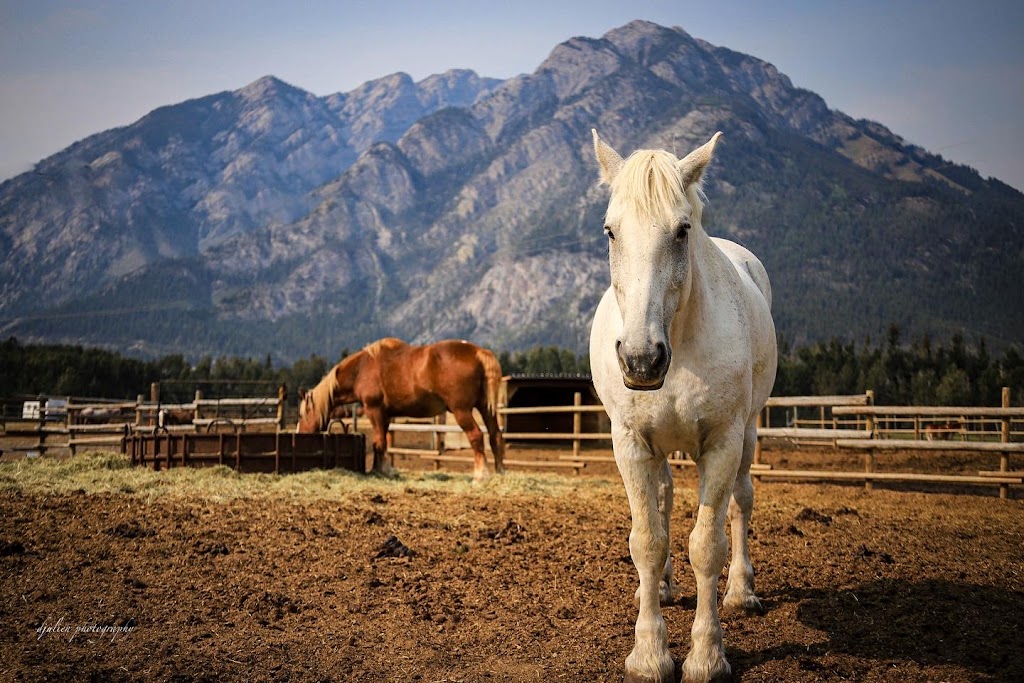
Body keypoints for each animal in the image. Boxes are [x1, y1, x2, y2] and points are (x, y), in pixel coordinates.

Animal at [294, 337, 505, 481]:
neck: (362, 368)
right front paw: (383, 469)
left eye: (303, 414)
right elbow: (382, 443)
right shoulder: (385, 416)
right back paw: (500, 472)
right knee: (495, 435)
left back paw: (480, 476)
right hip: (486, 409)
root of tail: (477, 352)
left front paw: (379, 471)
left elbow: (378, 442)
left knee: (476, 435)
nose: (300, 433)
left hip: (462, 411)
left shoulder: (374, 411)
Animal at [589, 129, 778, 683]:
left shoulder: (721, 443)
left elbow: (707, 545)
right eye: (610, 231)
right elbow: (647, 541)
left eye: (682, 230)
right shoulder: (631, 444)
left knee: (741, 502)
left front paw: (706, 657)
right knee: (665, 500)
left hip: (747, 435)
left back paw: (741, 592)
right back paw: (664, 588)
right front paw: (649, 653)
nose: (640, 359)